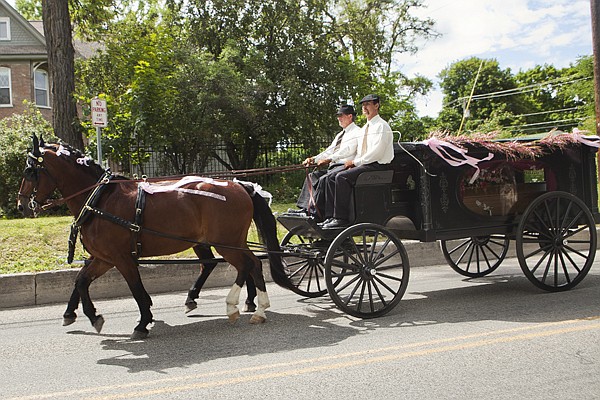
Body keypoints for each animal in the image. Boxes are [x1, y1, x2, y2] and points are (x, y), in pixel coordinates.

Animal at [19, 134, 296, 338]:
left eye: (30, 171)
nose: (22, 205)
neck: (99, 200)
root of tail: (240, 185)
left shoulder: (121, 258)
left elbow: (136, 289)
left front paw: (143, 322)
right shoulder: (104, 258)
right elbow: (80, 281)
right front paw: (85, 315)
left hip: (226, 242)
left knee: (249, 264)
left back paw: (246, 306)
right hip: (225, 242)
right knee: (245, 264)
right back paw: (245, 305)